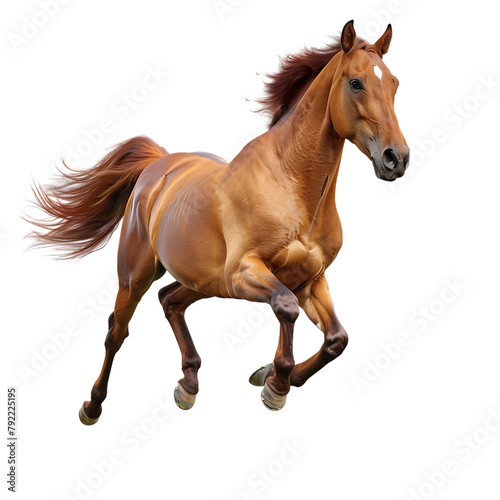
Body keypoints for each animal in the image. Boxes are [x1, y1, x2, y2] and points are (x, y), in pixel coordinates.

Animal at [27, 20, 410, 426]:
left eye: (394, 83)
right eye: (356, 83)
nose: (396, 158)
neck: (294, 188)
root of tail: (160, 163)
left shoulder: (309, 280)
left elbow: (336, 339)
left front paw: (271, 376)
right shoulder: (245, 272)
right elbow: (286, 308)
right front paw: (276, 384)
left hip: (204, 281)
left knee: (170, 301)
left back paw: (188, 383)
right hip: (137, 275)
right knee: (118, 330)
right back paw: (93, 405)